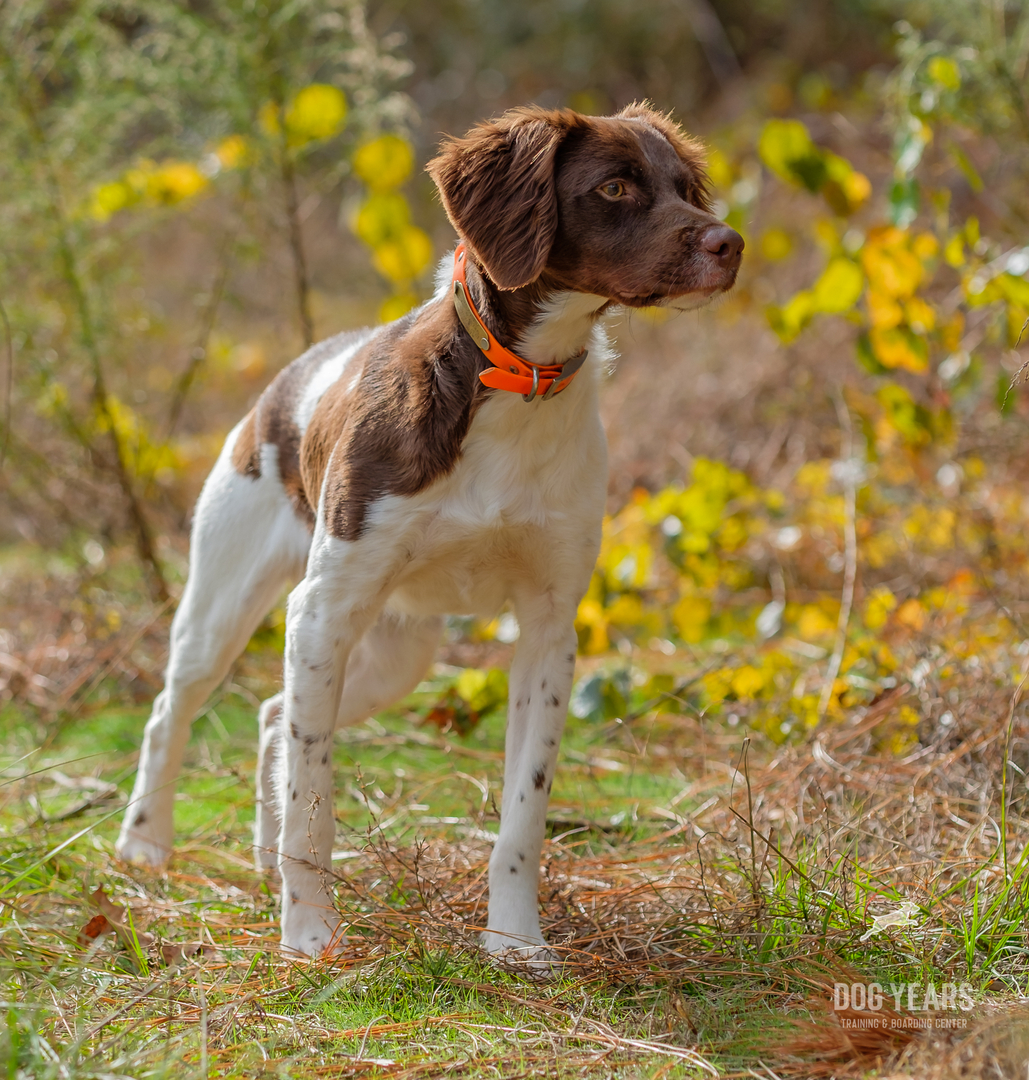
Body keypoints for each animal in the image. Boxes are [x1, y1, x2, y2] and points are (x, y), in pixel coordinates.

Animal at [116, 103, 742, 963]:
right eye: (614, 187)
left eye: (685, 187)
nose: (730, 243)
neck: (517, 383)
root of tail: (286, 380)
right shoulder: (324, 610)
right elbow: (313, 796)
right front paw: (308, 935)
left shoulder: (548, 629)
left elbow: (523, 813)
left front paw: (514, 941)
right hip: (229, 606)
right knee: (171, 711)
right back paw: (145, 843)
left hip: (395, 652)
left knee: (275, 715)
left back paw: (260, 857)